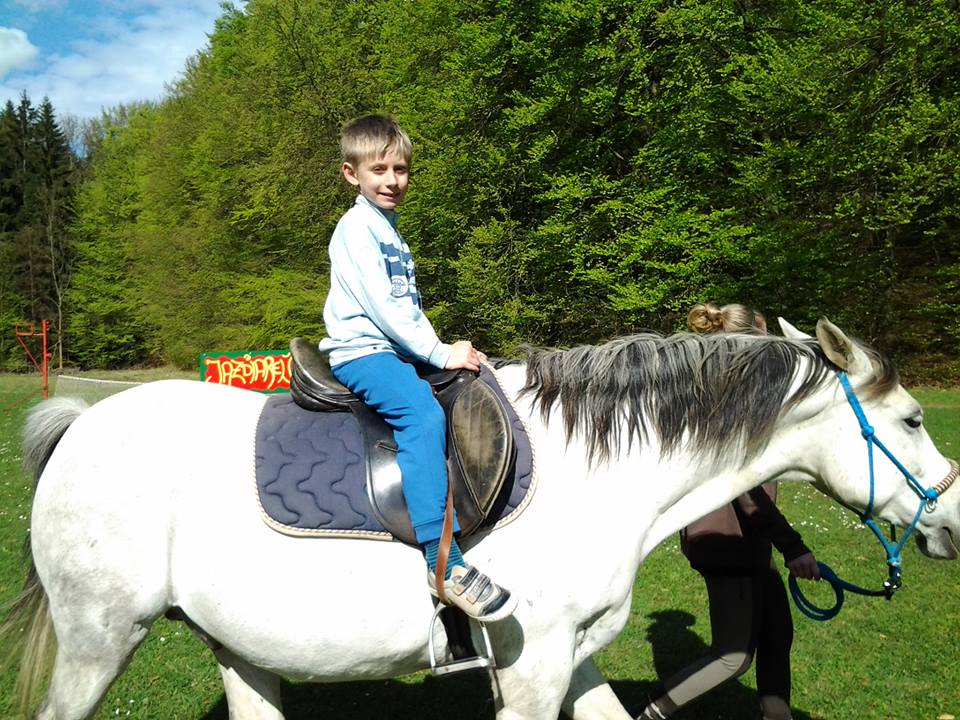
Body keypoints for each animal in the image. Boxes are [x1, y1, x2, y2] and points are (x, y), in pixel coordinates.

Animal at [2, 319, 957, 720]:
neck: (595, 469)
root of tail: (78, 425)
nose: (951, 519)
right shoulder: (530, 672)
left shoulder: (571, 659)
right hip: (100, 641)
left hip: (237, 646)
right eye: (914, 421)